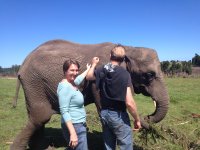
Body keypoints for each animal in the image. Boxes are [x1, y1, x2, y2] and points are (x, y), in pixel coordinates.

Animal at [10, 39, 169, 149]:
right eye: (149, 75)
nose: (147, 118)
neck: (128, 48)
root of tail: (22, 64)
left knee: (37, 119)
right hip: (34, 82)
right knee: (40, 118)